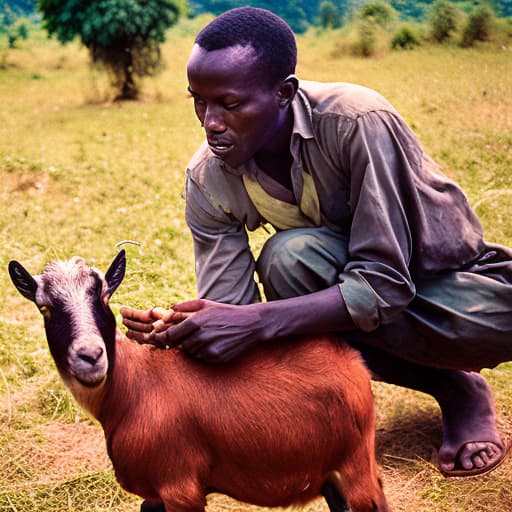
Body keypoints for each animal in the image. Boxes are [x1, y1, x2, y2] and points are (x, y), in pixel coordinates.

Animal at [8, 251, 390, 512]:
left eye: (103, 298)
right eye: (45, 308)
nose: (90, 356)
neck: (131, 387)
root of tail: (350, 360)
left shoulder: (180, 487)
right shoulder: (156, 493)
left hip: (355, 465)